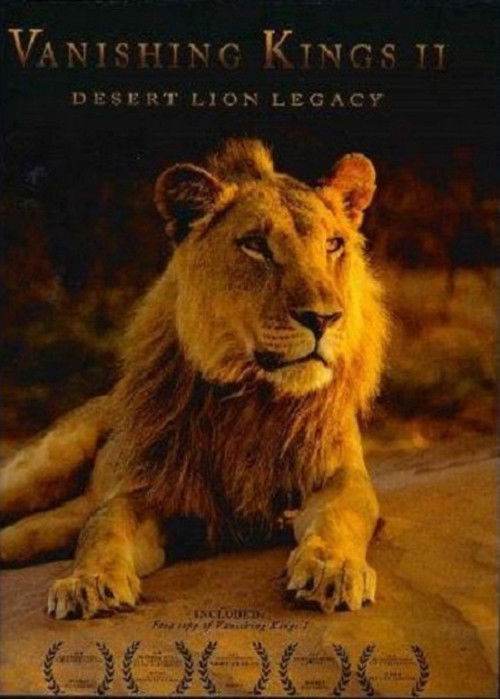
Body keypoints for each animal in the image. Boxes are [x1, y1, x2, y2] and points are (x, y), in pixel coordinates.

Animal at [0, 138, 387, 619]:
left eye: (334, 245)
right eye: (255, 246)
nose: (324, 318)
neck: (254, 397)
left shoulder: (338, 475)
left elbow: (342, 515)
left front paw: (331, 568)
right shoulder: (149, 492)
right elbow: (104, 526)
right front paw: (88, 581)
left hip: (47, 527)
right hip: (40, 469)